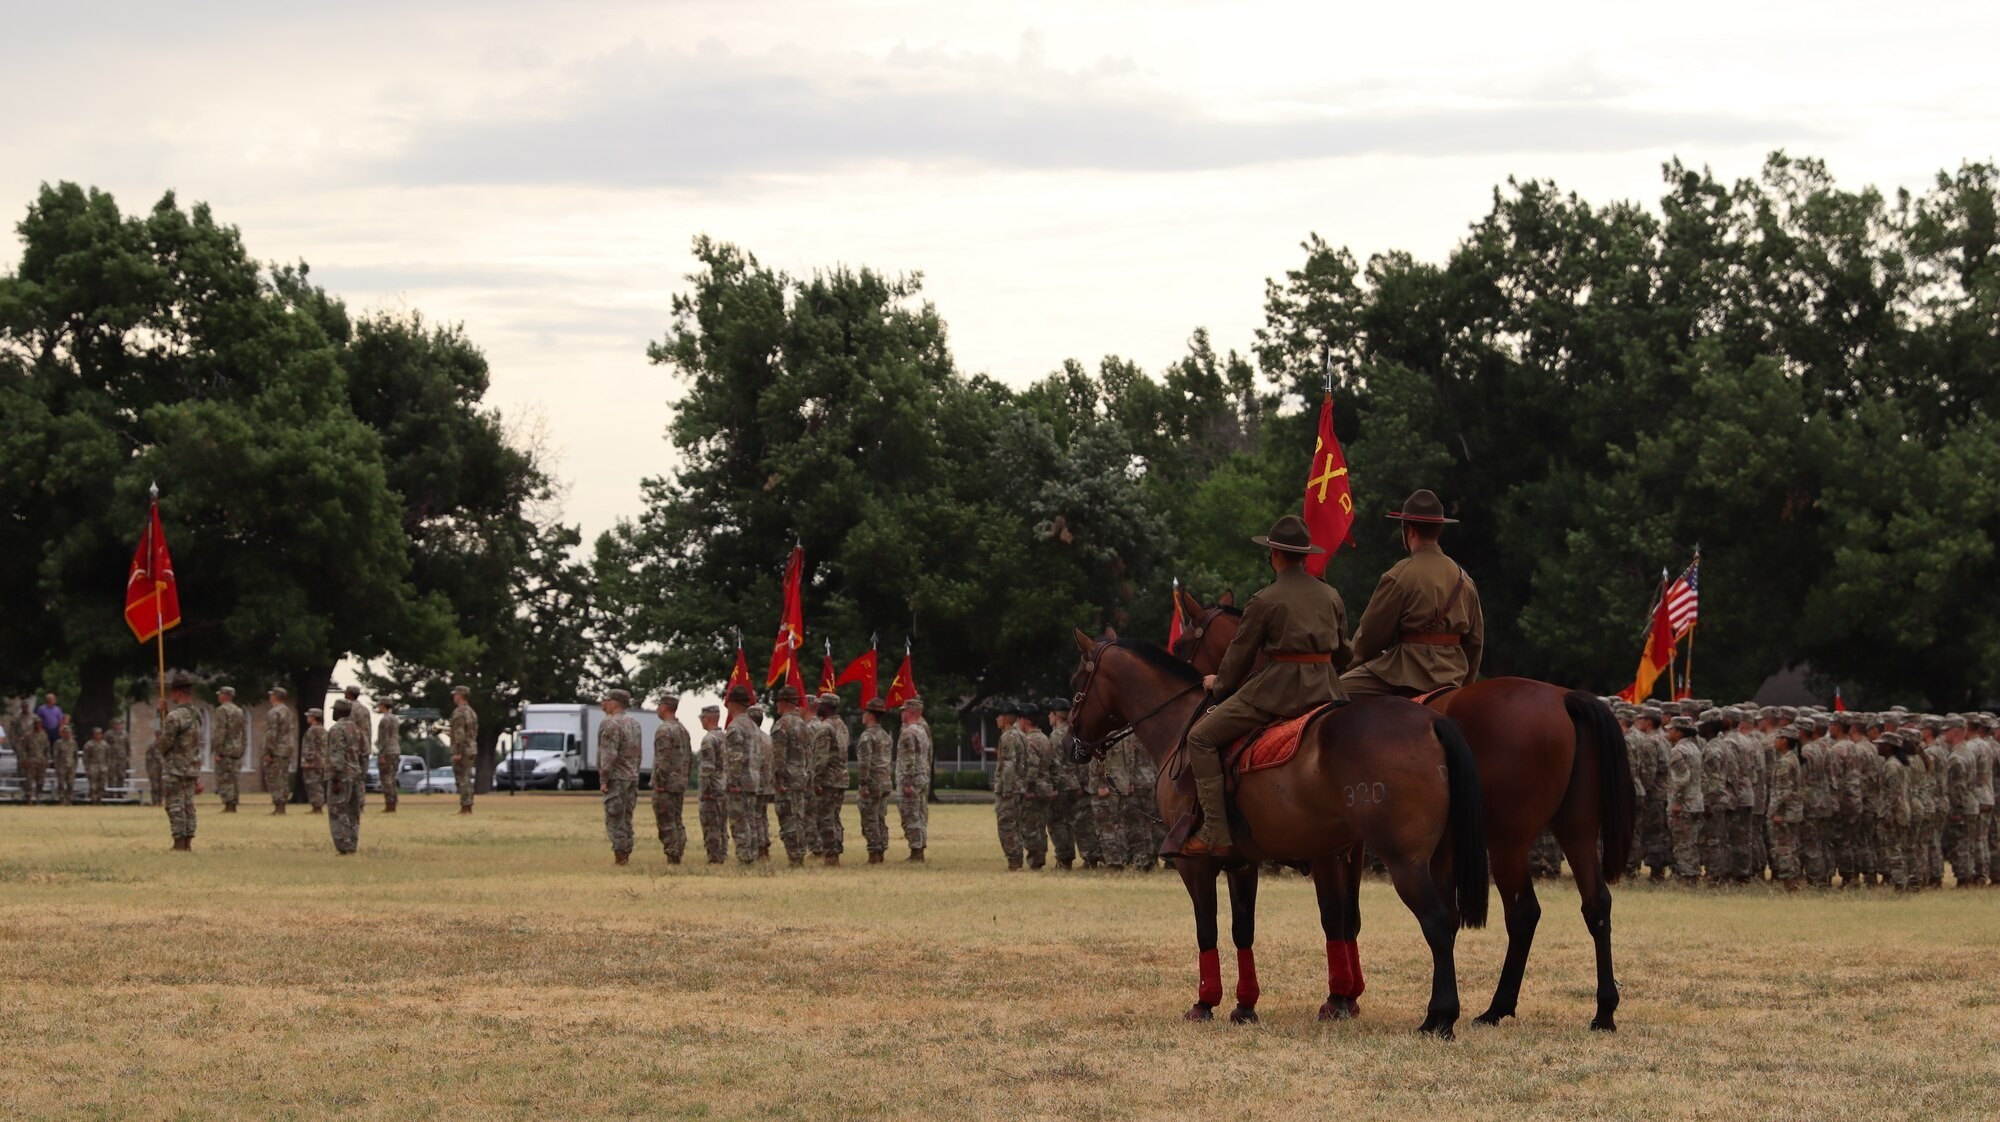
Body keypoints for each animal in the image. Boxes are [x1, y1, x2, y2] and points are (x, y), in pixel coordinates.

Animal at [1064, 632, 1488, 1032]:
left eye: (1076, 680)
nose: (1072, 744)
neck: (1180, 725)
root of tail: (1432, 721)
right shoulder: (1243, 864)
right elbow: (1244, 930)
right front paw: (1245, 1005)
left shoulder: (1194, 866)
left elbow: (1207, 930)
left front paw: (1205, 1003)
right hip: (1437, 859)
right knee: (1447, 921)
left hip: (1405, 862)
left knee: (1436, 923)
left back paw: (1439, 1018)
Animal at [1176, 592, 1632, 1032]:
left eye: (1183, 644)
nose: (1204, 692)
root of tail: (1564, 696)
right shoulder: (1352, 845)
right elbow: (1350, 916)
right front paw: (1347, 996)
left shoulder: (1337, 847)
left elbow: (1337, 916)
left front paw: (1341, 998)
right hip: (1575, 830)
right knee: (1596, 904)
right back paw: (1602, 1011)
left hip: (1507, 841)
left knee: (1522, 913)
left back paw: (1495, 1008)